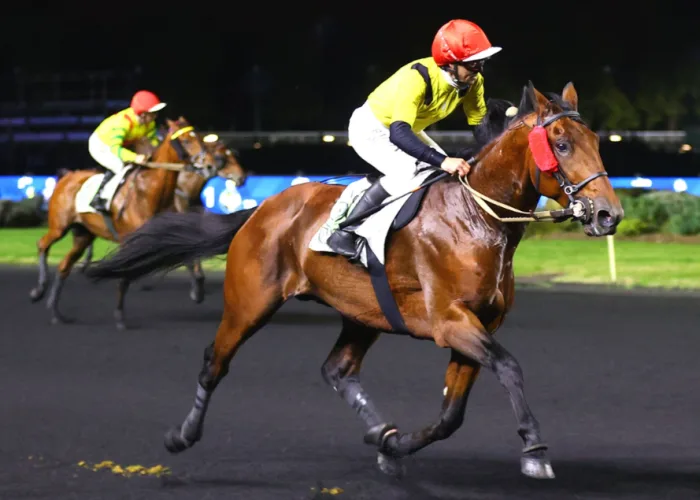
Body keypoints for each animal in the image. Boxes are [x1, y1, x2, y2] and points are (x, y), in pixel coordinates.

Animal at [29, 117, 218, 330]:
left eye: (200, 137)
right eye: (186, 140)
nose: (210, 166)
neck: (149, 192)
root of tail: (67, 176)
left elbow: (189, 258)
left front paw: (198, 291)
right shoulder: (131, 240)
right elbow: (125, 275)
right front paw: (120, 317)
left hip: (83, 235)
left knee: (64, 266)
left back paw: (56, 313)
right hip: (59, 227)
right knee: (43, 245)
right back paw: (38, 291)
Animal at [85, 82, 623, 478]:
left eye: (598, 143)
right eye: (561, 144)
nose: (608, 215)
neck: (476, 216)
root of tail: (262, 208)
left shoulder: (479, 326)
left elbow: (451, 415)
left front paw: (396, 446)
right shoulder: (450, 321)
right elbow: (509, 368)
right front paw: (534, 450)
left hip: (363, 312)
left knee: (337, 370)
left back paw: (380, 433)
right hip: (249, 302)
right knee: (214, 363)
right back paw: (182, 435)